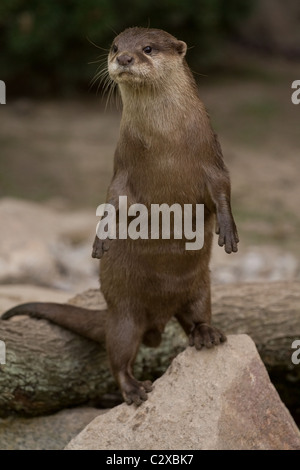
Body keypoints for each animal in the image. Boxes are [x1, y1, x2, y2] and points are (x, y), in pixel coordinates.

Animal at [1, 27, 238, 406]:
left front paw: (228, 232)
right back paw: (135, 388)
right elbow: (111, 199)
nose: (124, 58)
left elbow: (223, 190)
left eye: (148, 48)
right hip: (125, 314)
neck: (165, 142)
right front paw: (100, 239)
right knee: (119, 355)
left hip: (200, 286)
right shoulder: (121, 164)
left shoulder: (212, 157)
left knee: (195, 315)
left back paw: (206, 334)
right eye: (115, 47)